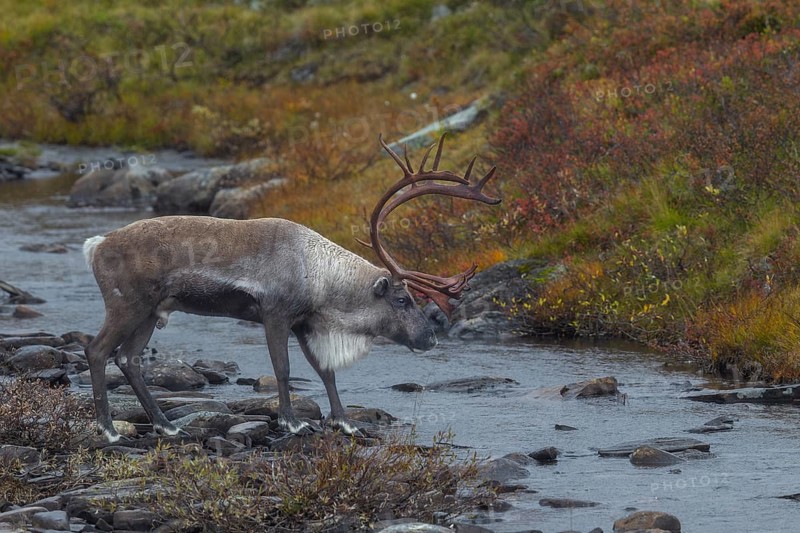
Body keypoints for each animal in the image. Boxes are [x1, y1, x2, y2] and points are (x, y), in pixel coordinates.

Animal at [82, 134, 500, 442]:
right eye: (402, 298)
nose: (430, 339)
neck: (319, 276)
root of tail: (95, 245)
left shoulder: (305, 322)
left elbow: (326, 371)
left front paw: (345, 421)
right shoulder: (275, 314)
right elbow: (282, 369)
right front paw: (291, 421)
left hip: (151, 311)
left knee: (129, 359)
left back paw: (166, 425)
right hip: (126, 305)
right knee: (98, 350)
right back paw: (108, 429)